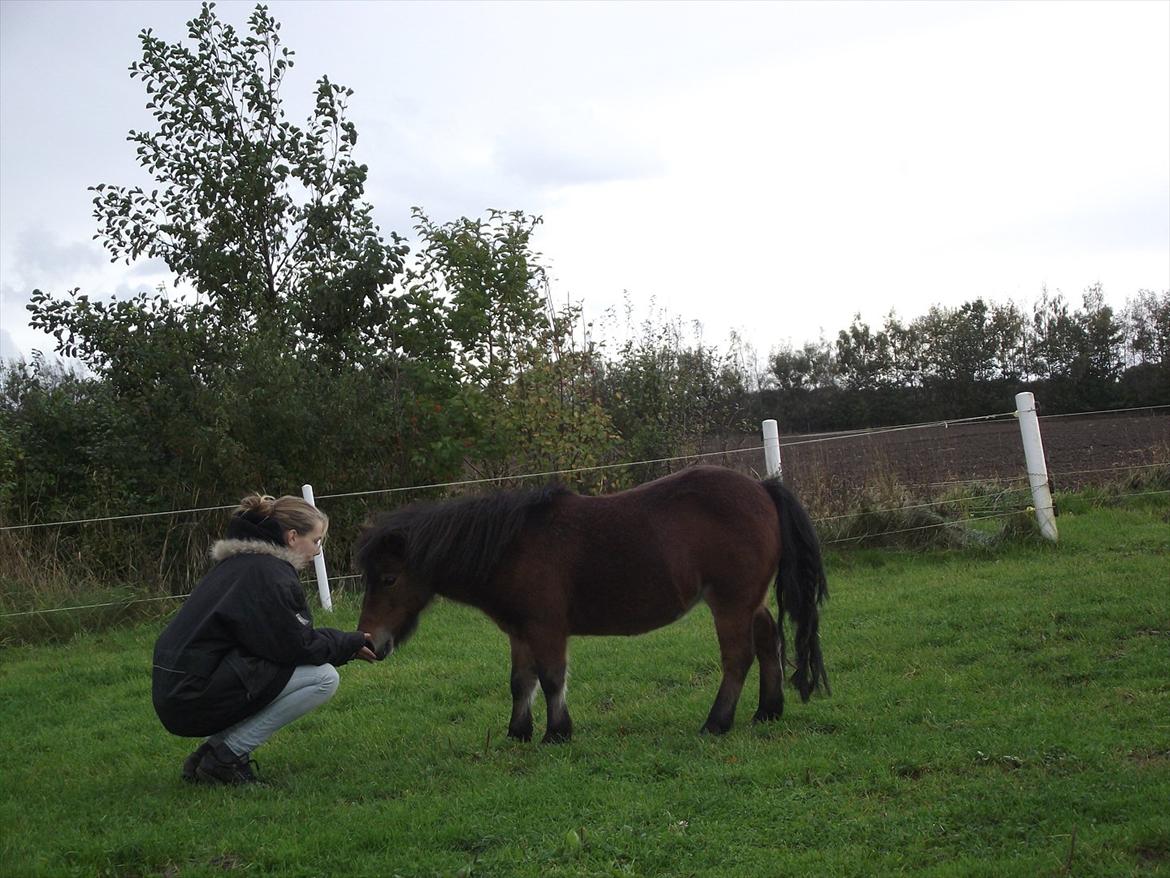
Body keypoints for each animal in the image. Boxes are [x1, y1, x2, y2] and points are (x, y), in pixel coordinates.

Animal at [355, 468, 833, 744]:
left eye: (388, 578)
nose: (371, 643)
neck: (512, 547)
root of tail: (762, 488)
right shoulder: (520, 631)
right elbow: (520, 682)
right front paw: (518, 732)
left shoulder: (546, 628)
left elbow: (551, 679)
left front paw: (557, 733)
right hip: (749, 602)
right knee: (769, 642)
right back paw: (767, 712)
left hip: (730, 604)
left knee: (738, 658)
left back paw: (716, 723)